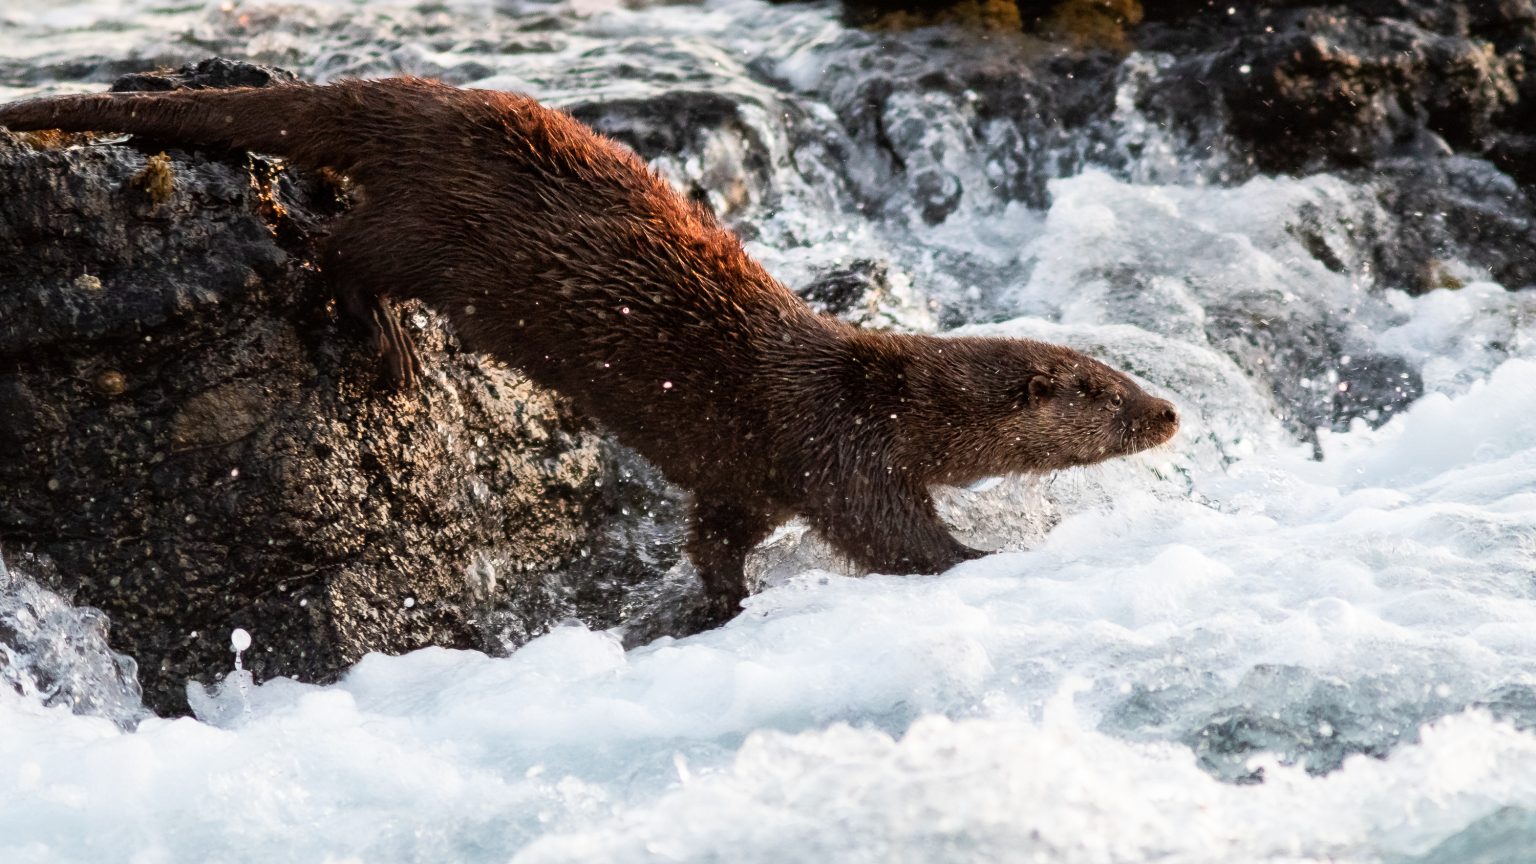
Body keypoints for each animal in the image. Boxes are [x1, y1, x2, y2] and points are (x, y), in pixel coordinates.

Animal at [0, 78, 1179, 624]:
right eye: (1105, 392)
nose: (1171, 414)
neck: (873, 391)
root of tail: (427, 100)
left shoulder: (749, 479)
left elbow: (715, 536)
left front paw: (721, 603)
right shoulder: (839, 451)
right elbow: (894, 539)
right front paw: (984, 560)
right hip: (437, 230)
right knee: (338, 246)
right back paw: (384, 337)